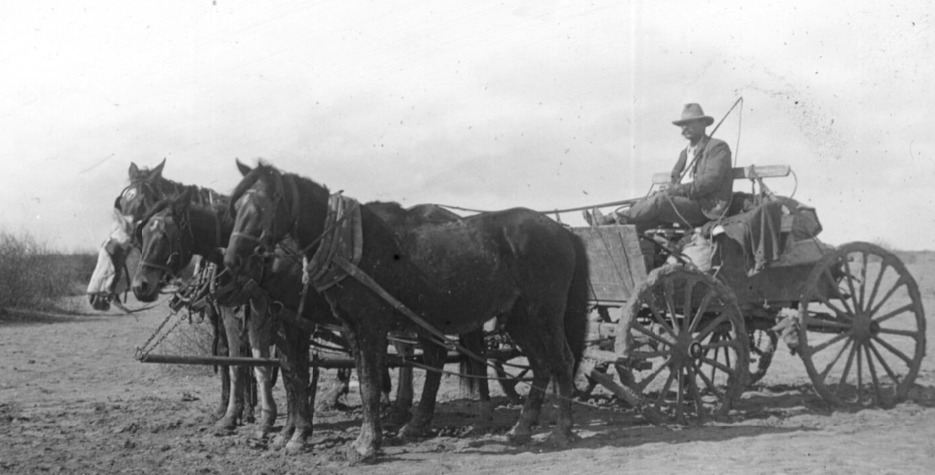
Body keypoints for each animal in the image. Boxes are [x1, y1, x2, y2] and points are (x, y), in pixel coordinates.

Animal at [224, 162, 588, 462]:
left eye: (265, 204)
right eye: (236, 206)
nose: (231, 261)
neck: (348, 244)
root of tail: (563, 231)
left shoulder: (367, 325)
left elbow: (367, 382)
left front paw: (365, 445)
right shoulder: (350, 327)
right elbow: (359, 380)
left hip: (545, 315)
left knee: (562, 362)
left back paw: (561, 431)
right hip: (519, 319)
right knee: (541, 365)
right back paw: (522, 428)